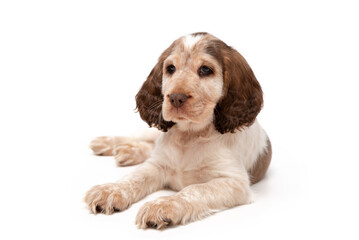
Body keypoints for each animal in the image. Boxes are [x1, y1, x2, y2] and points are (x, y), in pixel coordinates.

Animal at [86, 31, 272, 229]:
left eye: (205, 69)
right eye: (171, 68)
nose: (175, 98)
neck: (190, 135)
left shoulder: (234, 181)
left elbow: (195, 189)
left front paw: (163, 205)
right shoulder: (156, 165)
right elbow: (134, 177)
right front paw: (109, 190)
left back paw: (127, 152)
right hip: (154, 133)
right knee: (140, 138)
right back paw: (107, 144)